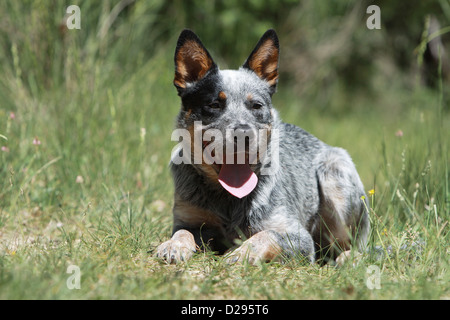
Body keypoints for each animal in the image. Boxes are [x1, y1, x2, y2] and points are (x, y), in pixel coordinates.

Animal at [156, 29, 370, 264]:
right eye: (213, 105)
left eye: (256, 105)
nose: (243, 134)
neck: (229, 198)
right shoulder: (191, 219)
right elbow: (183, 232)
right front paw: (173, 245)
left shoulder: (300, 238)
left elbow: (267, 235)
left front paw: (240, 253)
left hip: (334, 174)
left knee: (351, 245)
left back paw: (349, 259)